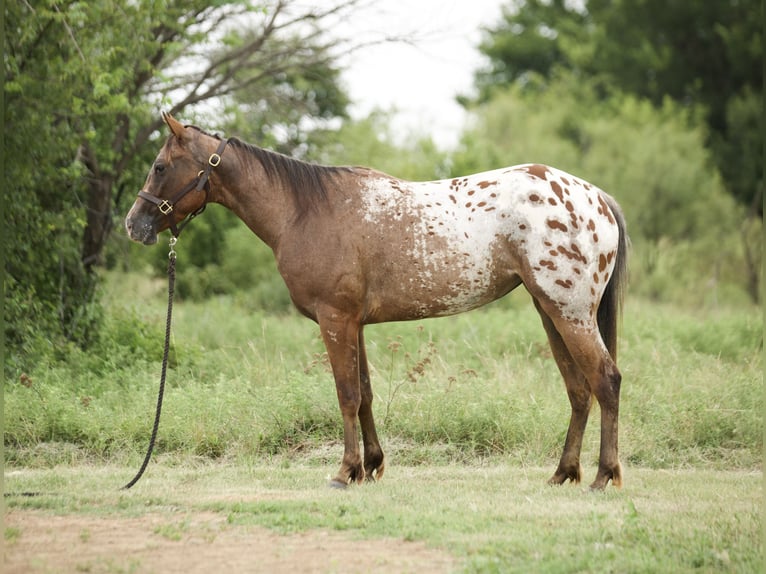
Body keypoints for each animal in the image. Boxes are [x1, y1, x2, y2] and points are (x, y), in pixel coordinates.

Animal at [126, 112, 629, 490]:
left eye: (160, 166)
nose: (134, 224)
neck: (305, 211)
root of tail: (597, 197)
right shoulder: (355, 324)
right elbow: (365, 393)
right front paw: (370, 466)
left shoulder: (335, 320)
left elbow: (346, 394)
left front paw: (345, 471)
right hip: (550, 312)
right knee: (579, 389)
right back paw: (563, 474)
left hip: (569, 313)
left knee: (605, 381)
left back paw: (603, 476)